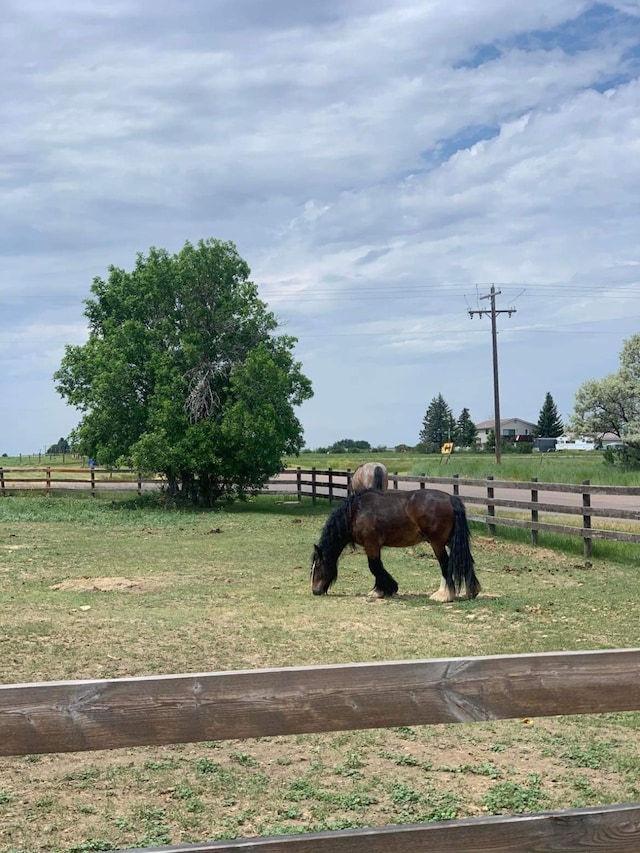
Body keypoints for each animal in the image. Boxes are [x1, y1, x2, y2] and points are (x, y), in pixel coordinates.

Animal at [310, 490, 480, 604]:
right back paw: (471, 591)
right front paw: (382, 590)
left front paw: (382, 590)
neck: (356, 513)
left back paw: (443, 596)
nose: (315, 591)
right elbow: (377, 566)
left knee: (445, 564)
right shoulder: (374, 546)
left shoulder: (371, 544)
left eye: (318, 566)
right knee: (465, 560)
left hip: (437, 543)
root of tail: (451, 498)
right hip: (450, 541)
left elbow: (374, 566)